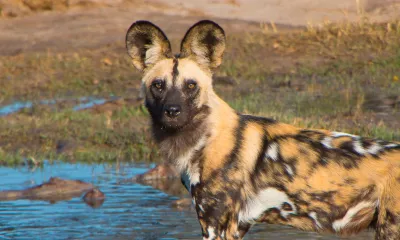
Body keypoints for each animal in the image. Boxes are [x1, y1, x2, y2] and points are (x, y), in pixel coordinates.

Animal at [126, 19, 400, 239]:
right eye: (158, 85)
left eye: (191, 85)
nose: (172, 111)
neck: (206, 139)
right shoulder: (237, 226)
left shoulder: (215, 225)